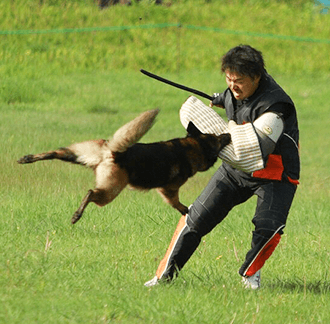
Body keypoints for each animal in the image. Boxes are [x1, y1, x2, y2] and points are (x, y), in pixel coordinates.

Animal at [17, 110, 229, 224]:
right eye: (218, 139)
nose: (228, 134)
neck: (189, 148)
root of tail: (113, 152)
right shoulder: (168, 189)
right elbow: (176, 203)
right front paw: (186, 210)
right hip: (111, 190)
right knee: (90, 193)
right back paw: (77, 215)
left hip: (78, 154)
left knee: (55, 152)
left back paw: (27, 158)